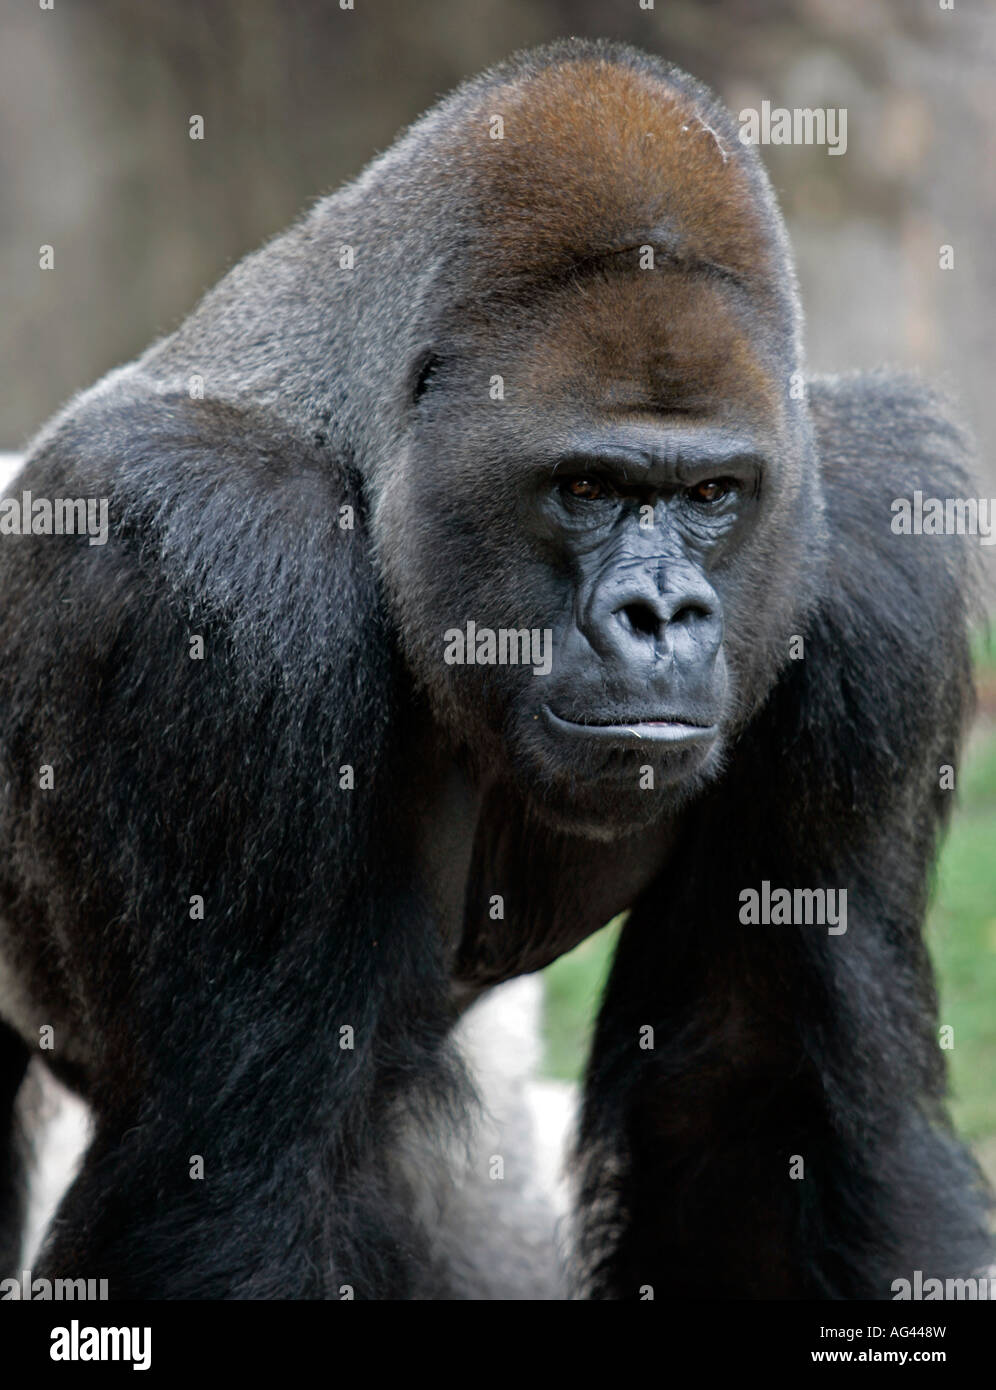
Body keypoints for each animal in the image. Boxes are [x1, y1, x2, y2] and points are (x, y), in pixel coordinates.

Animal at [0, 40, 989, 1301]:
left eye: (713, 493)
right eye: (586, 487)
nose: (661, 615)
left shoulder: (867, 545)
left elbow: (762, 1101)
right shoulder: (210, 561)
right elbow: (236, 1175)